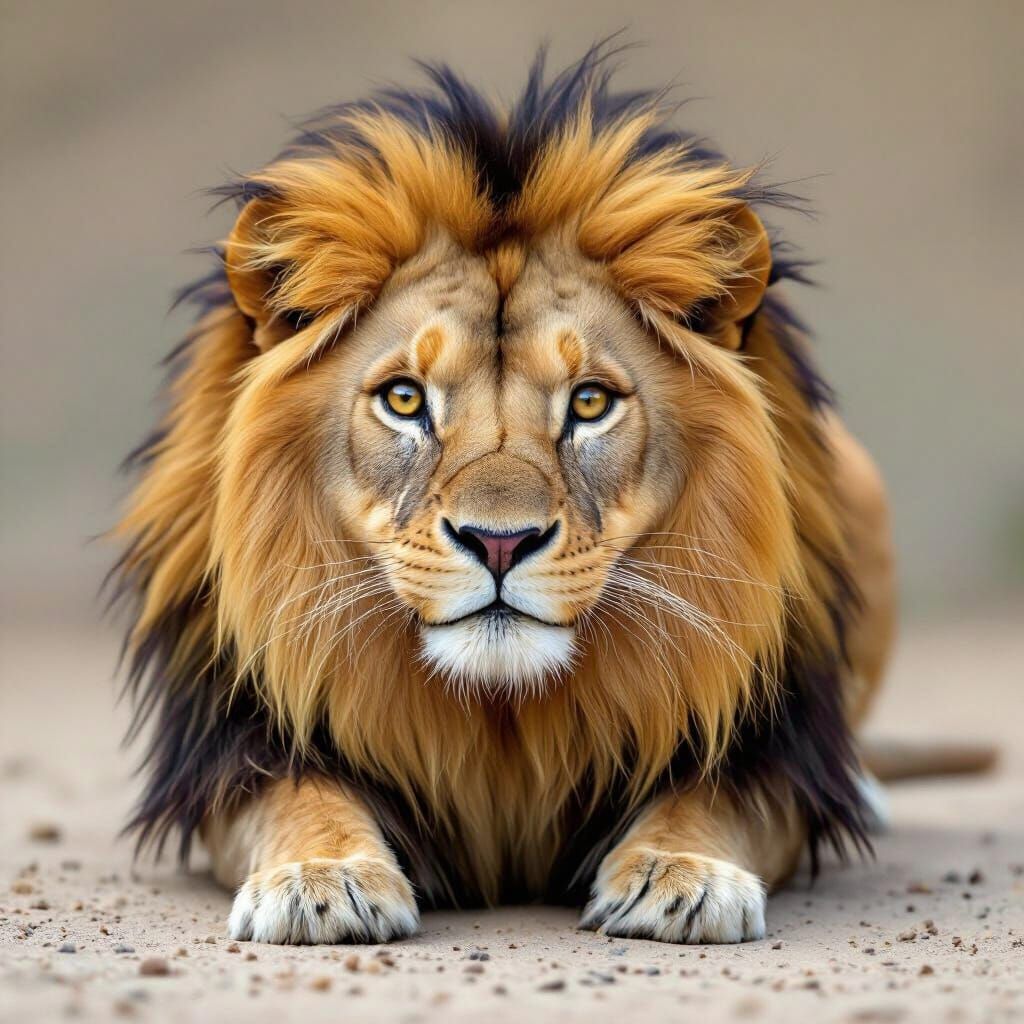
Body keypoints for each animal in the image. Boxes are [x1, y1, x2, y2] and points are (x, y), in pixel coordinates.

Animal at [112, 46, 901, 945]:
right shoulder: (228, 755)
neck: (500, 717)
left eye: (589, 402)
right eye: (406, 399)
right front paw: (322, 878)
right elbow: (299, 795)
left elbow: (710, 795)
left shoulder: (773, 756)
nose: (499, 542)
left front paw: (682, 873)